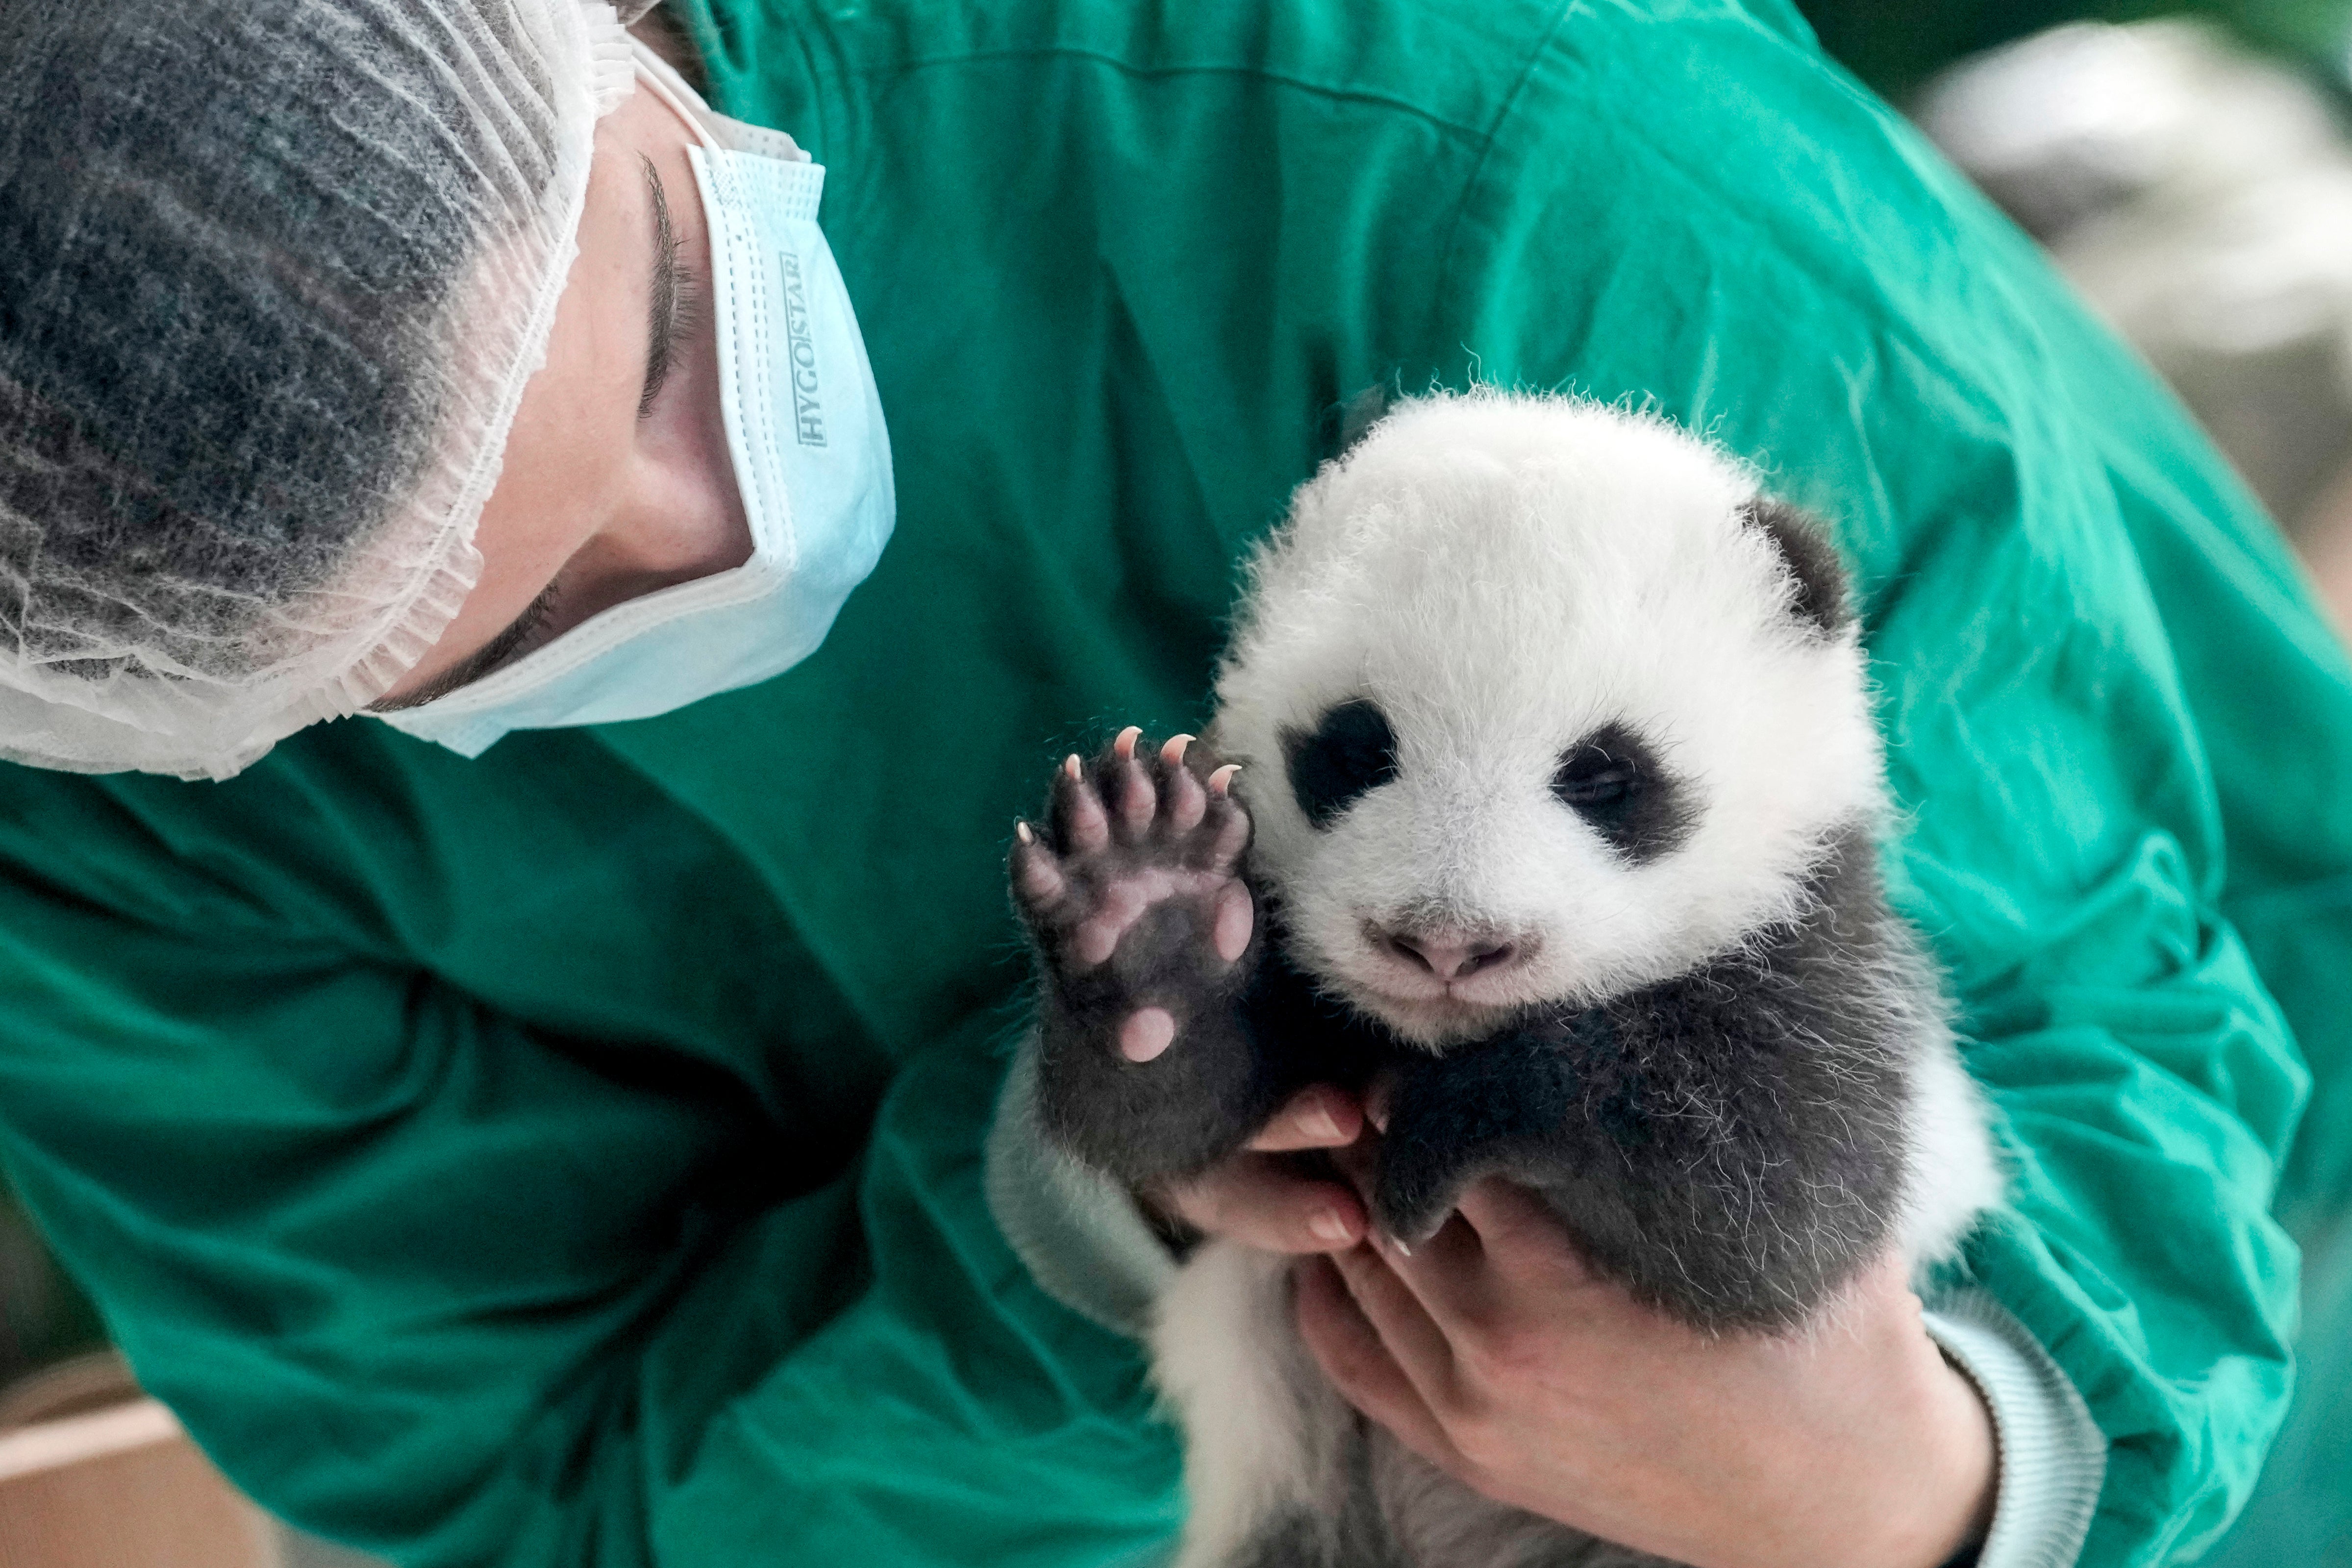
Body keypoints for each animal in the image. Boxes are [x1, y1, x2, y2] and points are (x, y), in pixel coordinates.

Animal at [1006, 390, 2004, 1568]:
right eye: (1355, 747)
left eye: (1603, 774)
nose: (1443, 944)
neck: (1429, 1035)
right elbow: (1178, 1115)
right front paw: (1149, 924)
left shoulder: (1827, 946)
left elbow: (1777, 1204)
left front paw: (1470, 1115)